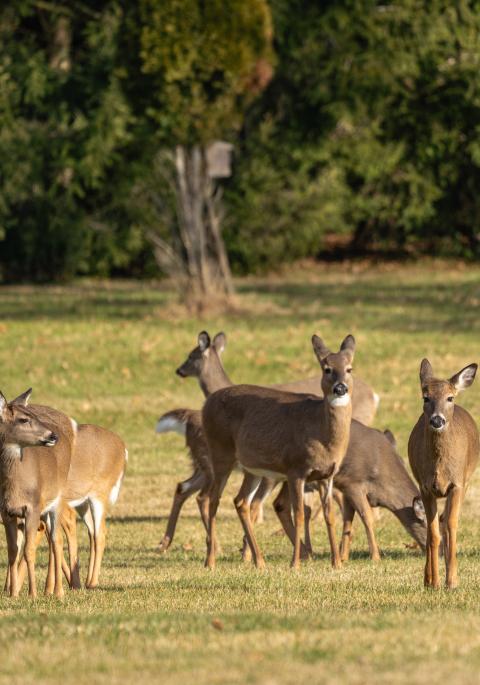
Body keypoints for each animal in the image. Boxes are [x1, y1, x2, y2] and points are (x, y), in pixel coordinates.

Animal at [0, 388, 74, 598]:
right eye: (23, 419)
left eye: (33, 415)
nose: (52, 436)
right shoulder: (6, 511)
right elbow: (12, 551)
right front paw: (13, 593)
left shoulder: (32, 506)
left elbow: (29, 550)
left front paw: (32, 593)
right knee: (51, 541)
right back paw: (50, 589)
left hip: (56, 499)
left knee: (56, 541)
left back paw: (58, 591)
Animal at [201, 333, 355, 570]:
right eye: (327, 369)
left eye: (349, 369)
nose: (340, 388)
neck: (322, 435)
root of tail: (206, 403)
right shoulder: (295, 469)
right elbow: (299, 514)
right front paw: (295, 564)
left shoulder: (327, 475)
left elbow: (330, 515)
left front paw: (337, 563)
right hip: (220, 452)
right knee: (213, 499)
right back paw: (210, 561)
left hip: (251, 468)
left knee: (241, 501)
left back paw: (260, 561)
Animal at [408, 359, 479, 589]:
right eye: (426, 397)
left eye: (450, 397)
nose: (437, 420)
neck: (440, 466)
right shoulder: (425, 486)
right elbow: (433, 533)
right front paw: (435, 582)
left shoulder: (457, 484)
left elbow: (451, 526)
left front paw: (452, 581)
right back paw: (428, 579)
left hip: (466, 481)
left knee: (446, 522)